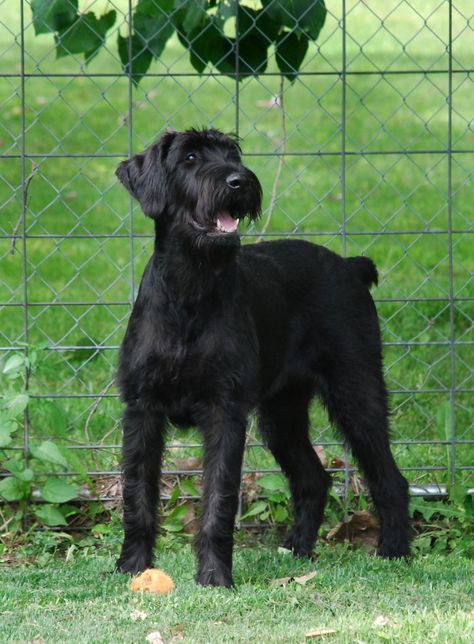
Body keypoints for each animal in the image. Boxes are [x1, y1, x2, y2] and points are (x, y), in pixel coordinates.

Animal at [114, 128, 408, 588]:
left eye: (232, 153)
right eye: (190, 157)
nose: (239, 181)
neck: (190, 287)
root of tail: (349, 266)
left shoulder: (225, 412)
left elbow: (219, 498)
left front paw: (214, 576)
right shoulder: (142, 409)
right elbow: (137, 494)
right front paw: (132, 566)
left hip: (356, 394)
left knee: (389, 477)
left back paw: (394, 551)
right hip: (282, 413)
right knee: (314, 478)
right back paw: (297, 551)